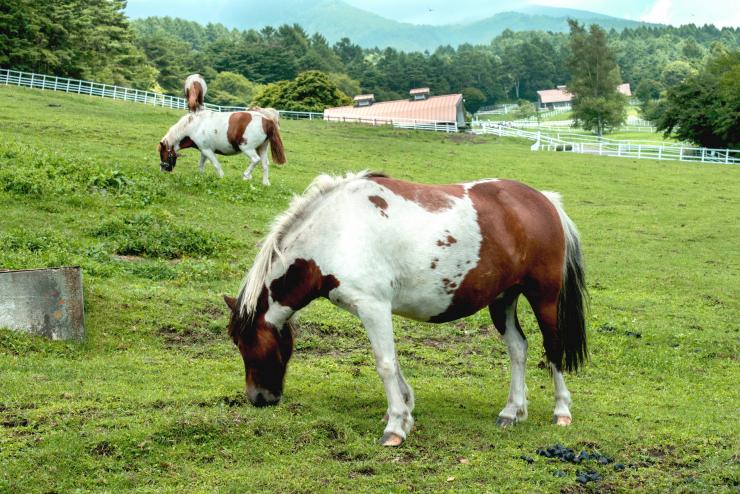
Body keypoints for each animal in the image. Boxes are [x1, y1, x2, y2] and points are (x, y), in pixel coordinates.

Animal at [223, 171, 588, 448]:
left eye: (246, 343)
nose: (257, 398)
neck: (337, 232)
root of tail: (544, 201)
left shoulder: (373, 306)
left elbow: (384, 364)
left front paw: (396, 426)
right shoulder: (374, 310)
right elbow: (393, 361)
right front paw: (404, 409)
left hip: (543, 297)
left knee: (552, 348)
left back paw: (561, 411)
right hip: (503, 299)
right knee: (518, 348)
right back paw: (512, 411)